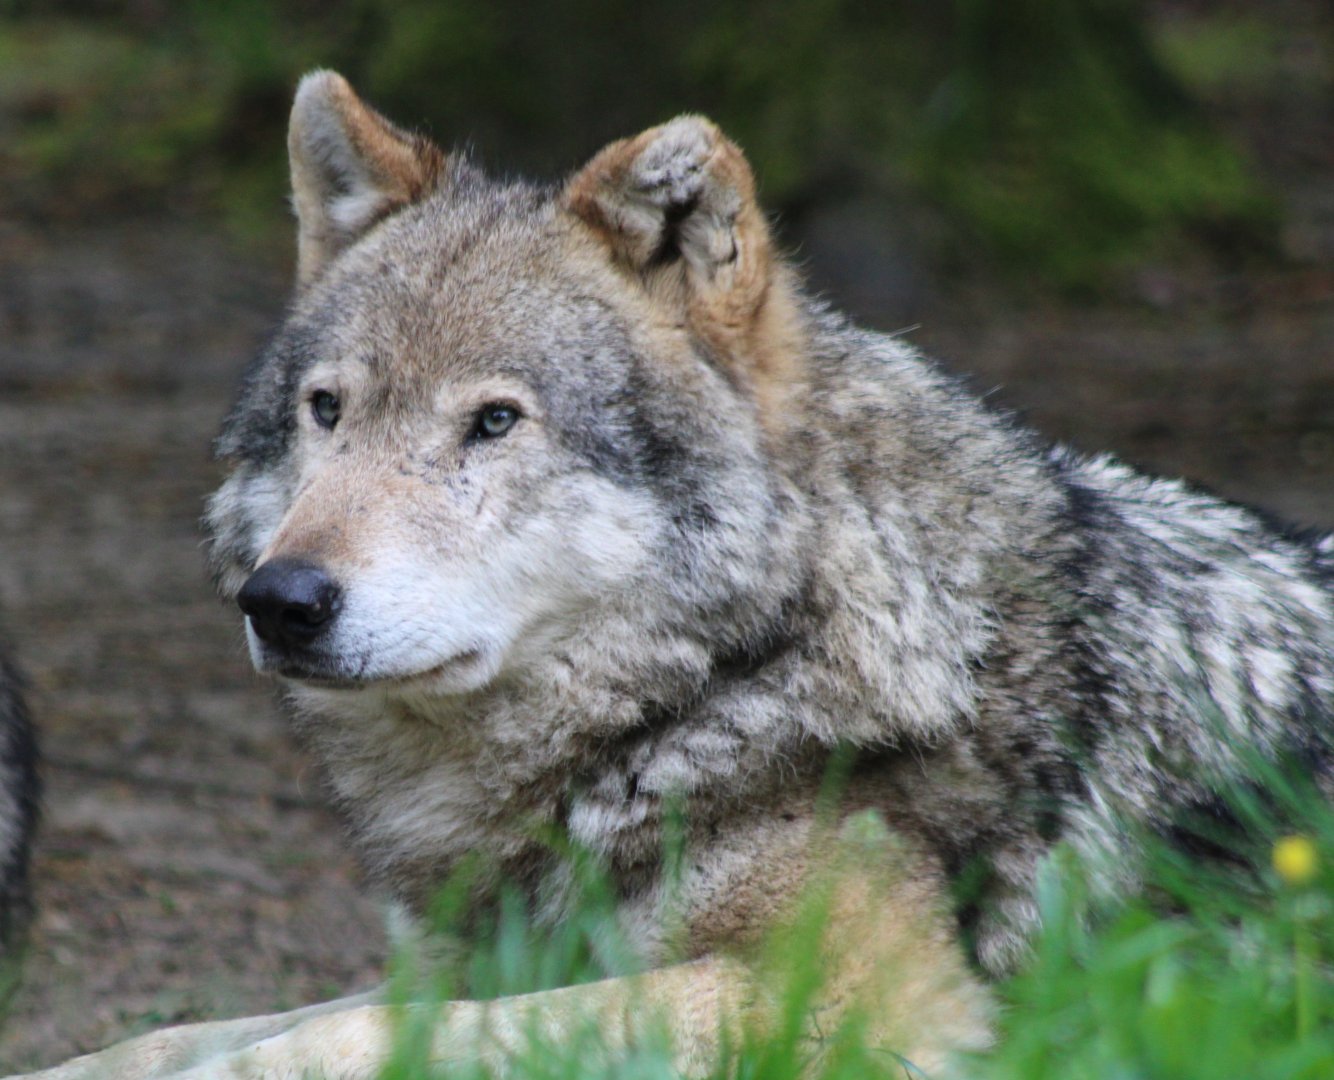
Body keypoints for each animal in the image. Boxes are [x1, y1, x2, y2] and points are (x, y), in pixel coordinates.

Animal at [16, 71, 1333, 1078]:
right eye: (326, 412)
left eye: (494, 423)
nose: (280, 601)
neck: (730, 683)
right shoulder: (472, 955)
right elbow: (197, 1028)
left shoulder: (870, 1001)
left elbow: (381, 1039)